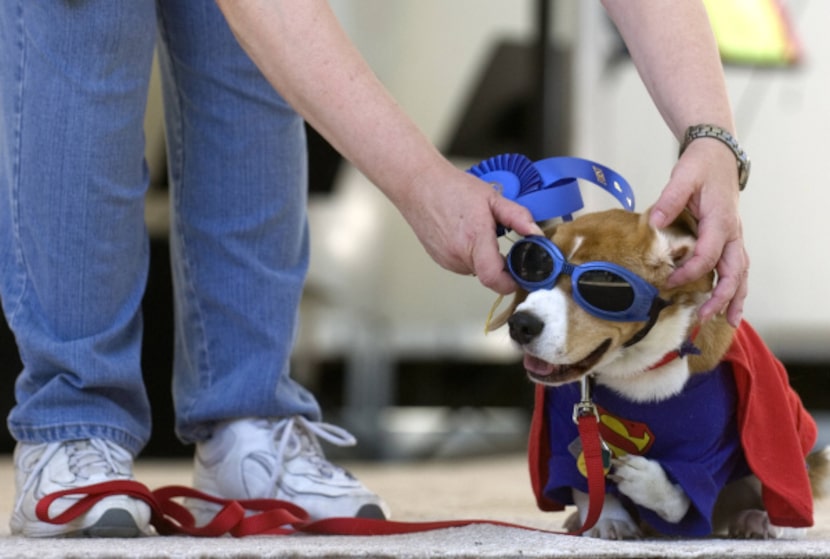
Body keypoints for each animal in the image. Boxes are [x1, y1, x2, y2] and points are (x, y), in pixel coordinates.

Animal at [488, 208, 830, 540]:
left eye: (603, 286)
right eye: (535, 269)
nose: (521, 324)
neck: (637, 369)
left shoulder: (710, 443)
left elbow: (685, 493)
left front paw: (649, 483)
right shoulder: (563, 431)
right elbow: (584, 480)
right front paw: (609, 519)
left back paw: (765, 521)